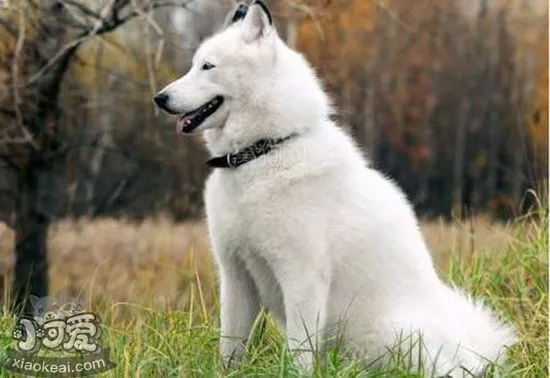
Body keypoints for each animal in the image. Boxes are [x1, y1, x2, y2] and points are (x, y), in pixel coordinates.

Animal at [155, 2, 516, 376]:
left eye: (208, 66)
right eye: (194, 64)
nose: (159, 98)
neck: (263, 152)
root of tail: (470, 355)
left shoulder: (302, 277)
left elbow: (299, 351)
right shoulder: (235, 274)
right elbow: (231, 346)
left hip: (392, 334)